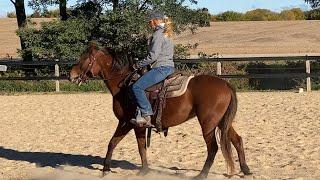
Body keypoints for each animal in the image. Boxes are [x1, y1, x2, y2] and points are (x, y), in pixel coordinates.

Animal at [69, 45, 250, 179]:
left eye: (84, 59)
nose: (71, 75)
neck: (124, 85)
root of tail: (225, 84)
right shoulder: (131, 123)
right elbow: (119, 143)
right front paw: (110, 169)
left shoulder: (131, 123)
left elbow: (133, 145)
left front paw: (117, 169)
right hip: (222, 122)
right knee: (237, 140)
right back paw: (246, 170)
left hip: (208, 123)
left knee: (213, 148)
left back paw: (202, 175)